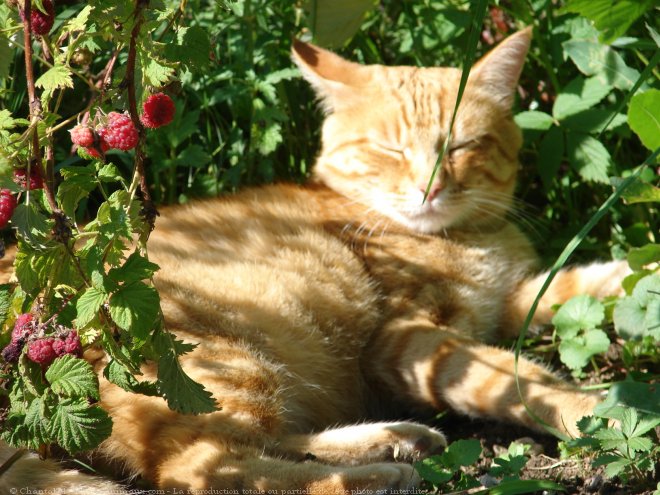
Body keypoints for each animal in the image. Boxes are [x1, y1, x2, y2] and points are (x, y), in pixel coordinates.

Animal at [1, 29, 628, 494]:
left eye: (462, 147)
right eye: (390, 149)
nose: (429, 190)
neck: (467, 237)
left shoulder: (509, 302)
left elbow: (578, 286)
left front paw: (625, 276)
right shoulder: (405, 341)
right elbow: (519, 380)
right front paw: (597, 409)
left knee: (259, 440)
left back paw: (393, 438)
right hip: (217, 360)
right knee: (202, 467)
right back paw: (377, 473)